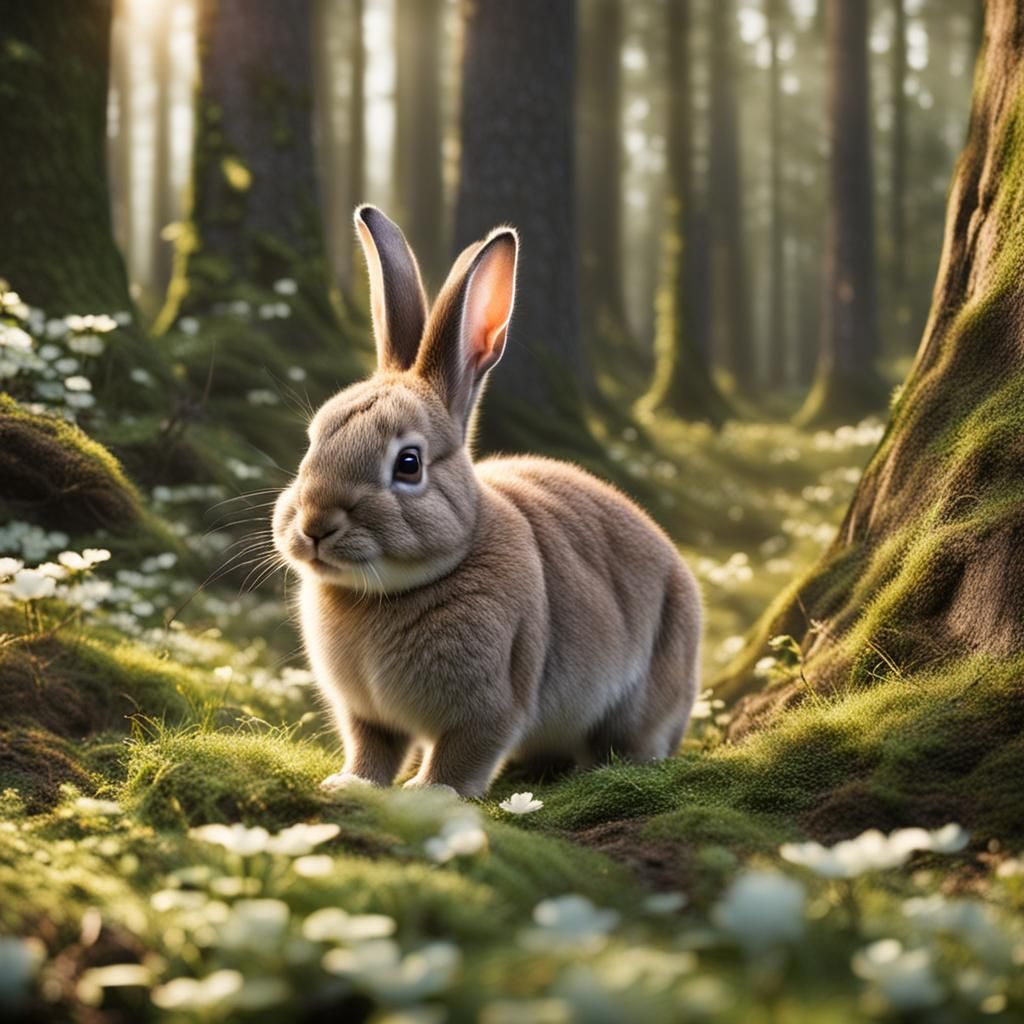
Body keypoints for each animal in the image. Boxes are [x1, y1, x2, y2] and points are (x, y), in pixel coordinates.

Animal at [272, 205, 702, 798]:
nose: (315, 524)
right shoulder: (367, 715)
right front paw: (349, 785)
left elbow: (462, 756)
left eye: (409, 464)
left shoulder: (492, 703)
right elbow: (372, 750)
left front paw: (428, 793)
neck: (386, 591)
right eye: (312, 441)